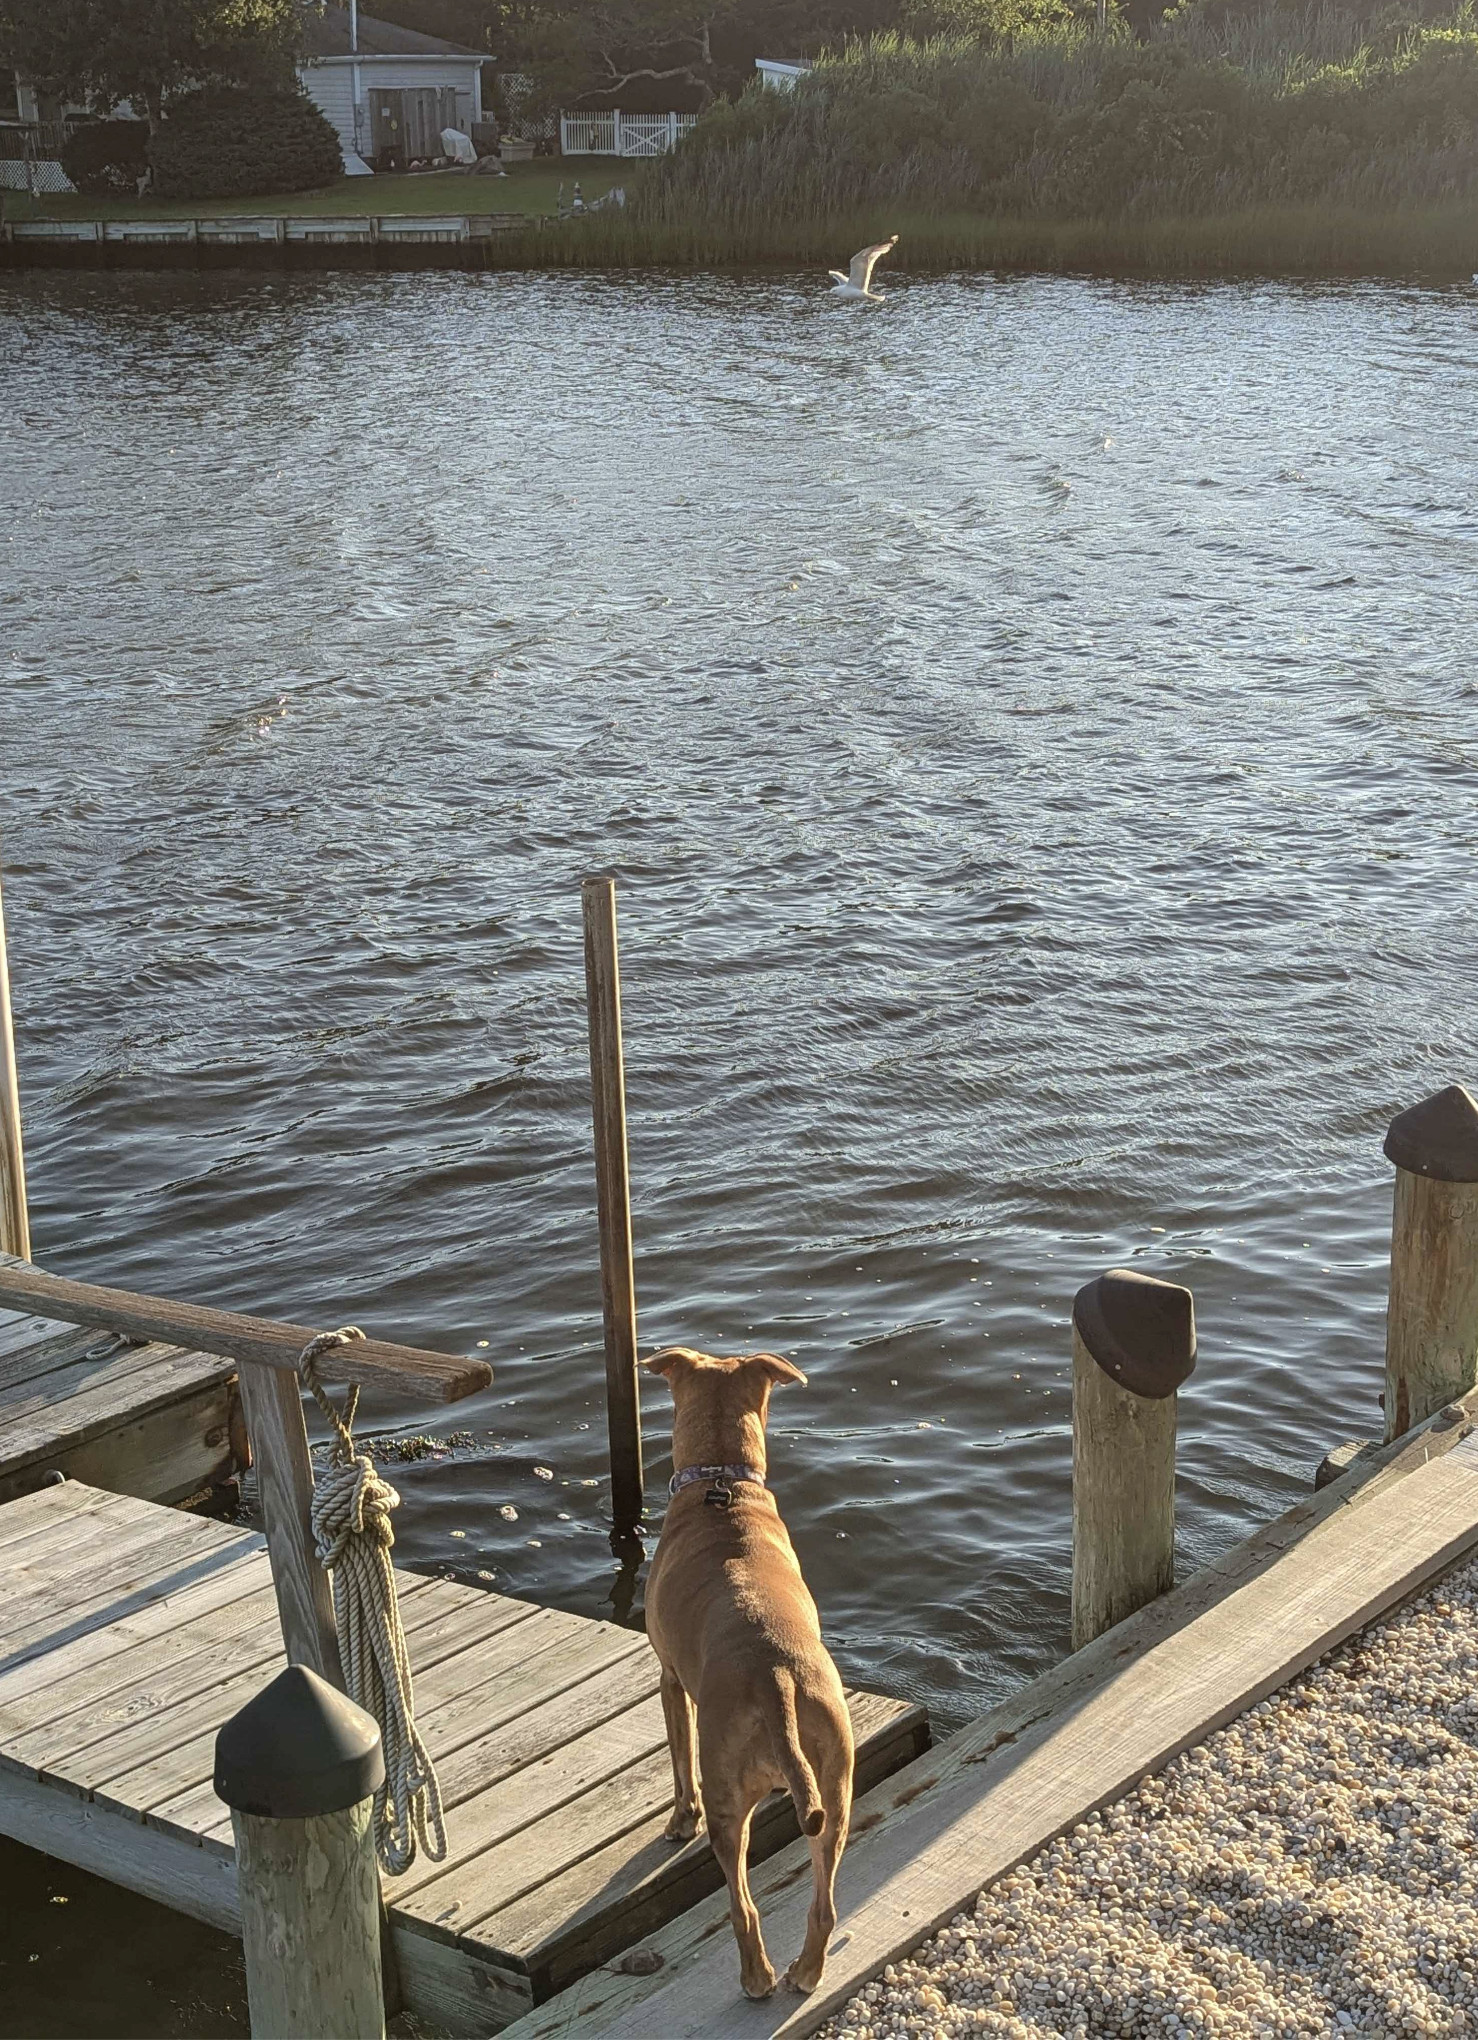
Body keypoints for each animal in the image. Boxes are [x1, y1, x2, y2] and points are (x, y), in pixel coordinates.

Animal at [644, 1346, 852, 1999]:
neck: (723, 1486)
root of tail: (775, 1676)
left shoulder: (668, 1678)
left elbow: (678, 1765)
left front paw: (677, 1823)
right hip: (835, 1784)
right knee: (823, 1904)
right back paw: (805, 1974)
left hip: (729, 1805)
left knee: (742, 1904)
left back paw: (757, 1978)